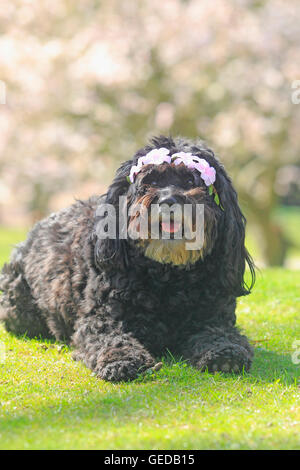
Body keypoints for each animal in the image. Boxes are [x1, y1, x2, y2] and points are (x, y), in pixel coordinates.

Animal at [0, 136, 255, 382]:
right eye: (150, 182)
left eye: (191, 182)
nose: (168, 200)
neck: (168, 274)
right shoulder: (100, 318)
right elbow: (110, 338)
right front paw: (121, 360)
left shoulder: (213, 316)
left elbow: (220, 333)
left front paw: (225, 353)